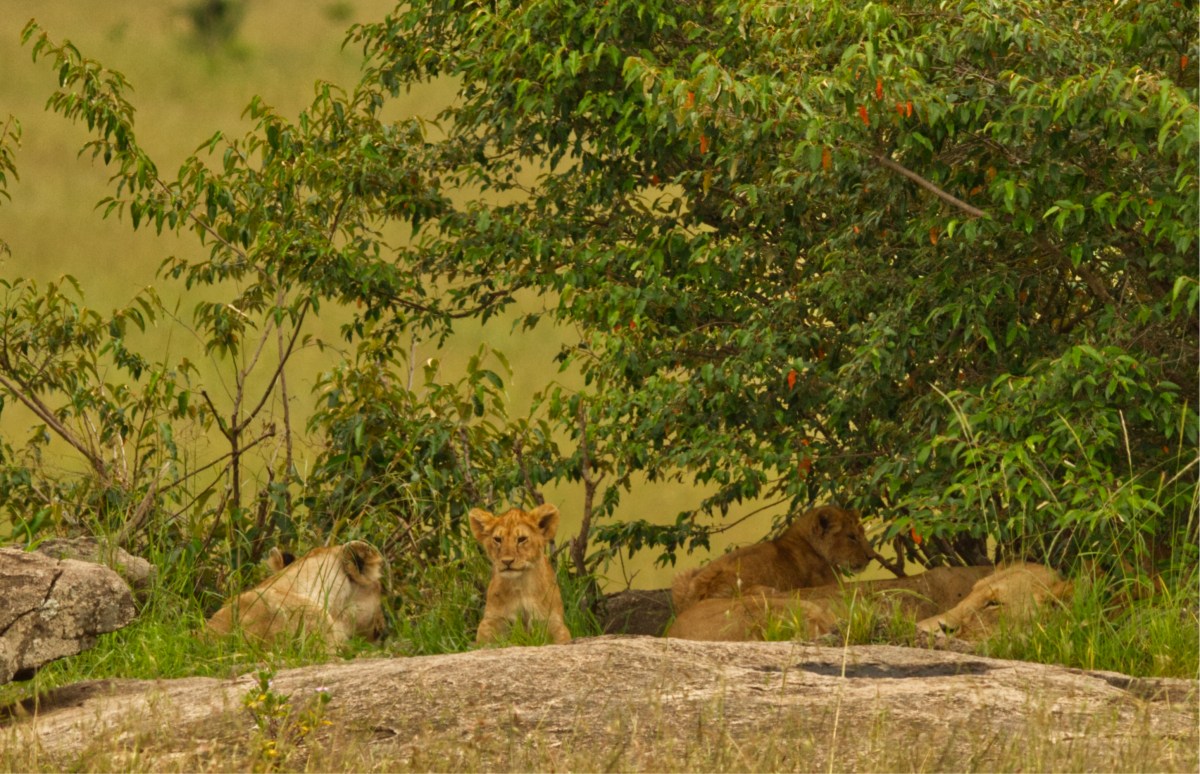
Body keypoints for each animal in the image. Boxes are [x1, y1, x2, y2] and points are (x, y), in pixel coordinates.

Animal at [470, 503, 571, 646]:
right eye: (497, 539)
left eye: (522, 539)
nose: (507, 561)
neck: (520, 584)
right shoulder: (492, 619)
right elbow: (486, 642)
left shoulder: (551, 620)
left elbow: (561, 637)